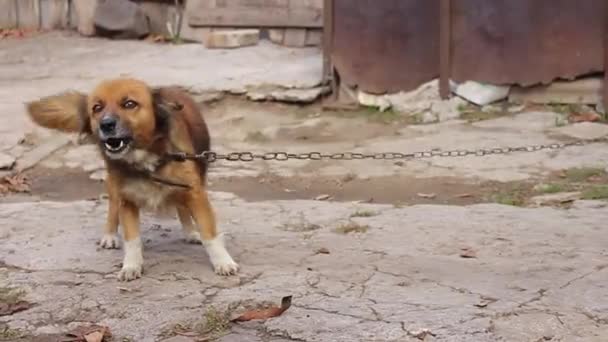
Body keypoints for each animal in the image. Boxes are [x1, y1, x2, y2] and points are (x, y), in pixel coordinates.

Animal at [26, 78, 240, 280]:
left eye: (129, 104)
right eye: (97, 108)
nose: (106, 124)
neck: (144, 159)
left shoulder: (194, 192)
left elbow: (209, 234)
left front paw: (223, 262)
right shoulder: (126, 199)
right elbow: (132, 239)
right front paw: (131, 266)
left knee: (182, 207)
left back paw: (189, 231)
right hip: (114, 184)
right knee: (112, 206)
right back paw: (110, 235)